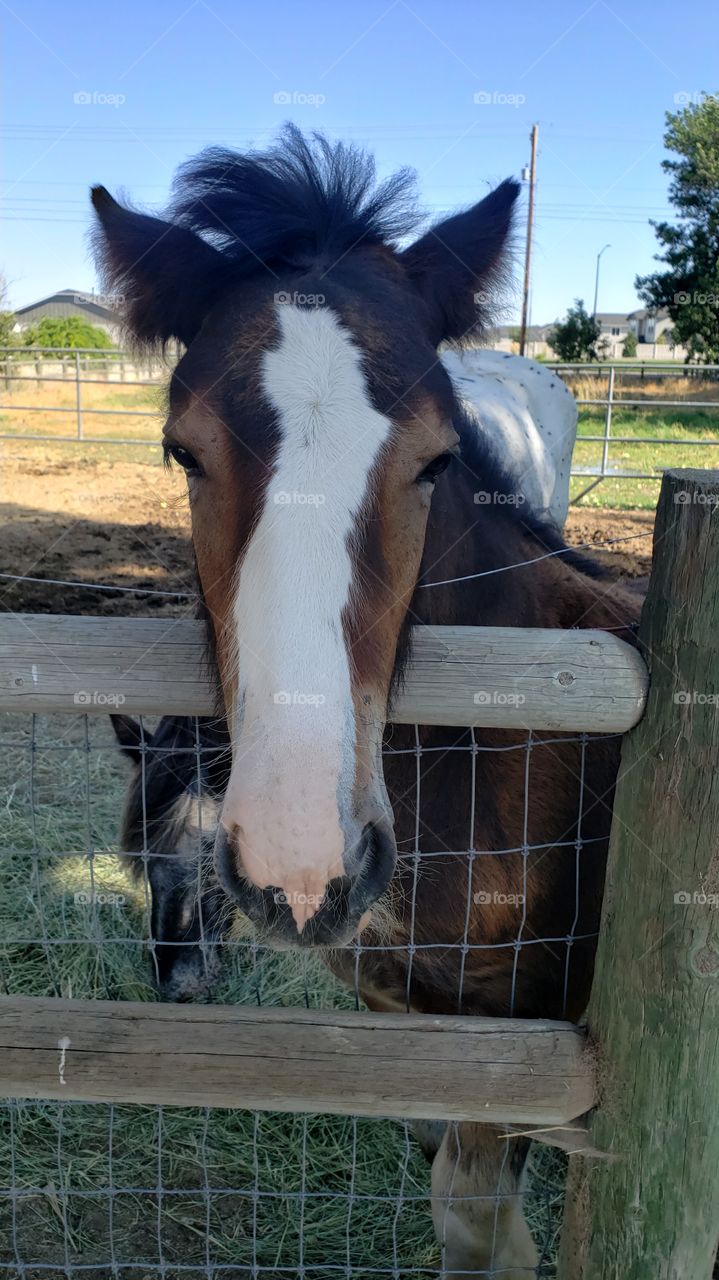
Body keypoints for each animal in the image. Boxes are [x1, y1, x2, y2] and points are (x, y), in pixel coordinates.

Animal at [94, 126, 638, 1277]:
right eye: (180, 449)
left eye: (437, 456)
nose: (301, 861)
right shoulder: (413, 1028)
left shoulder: (510, 1039)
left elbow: (479, 1230)